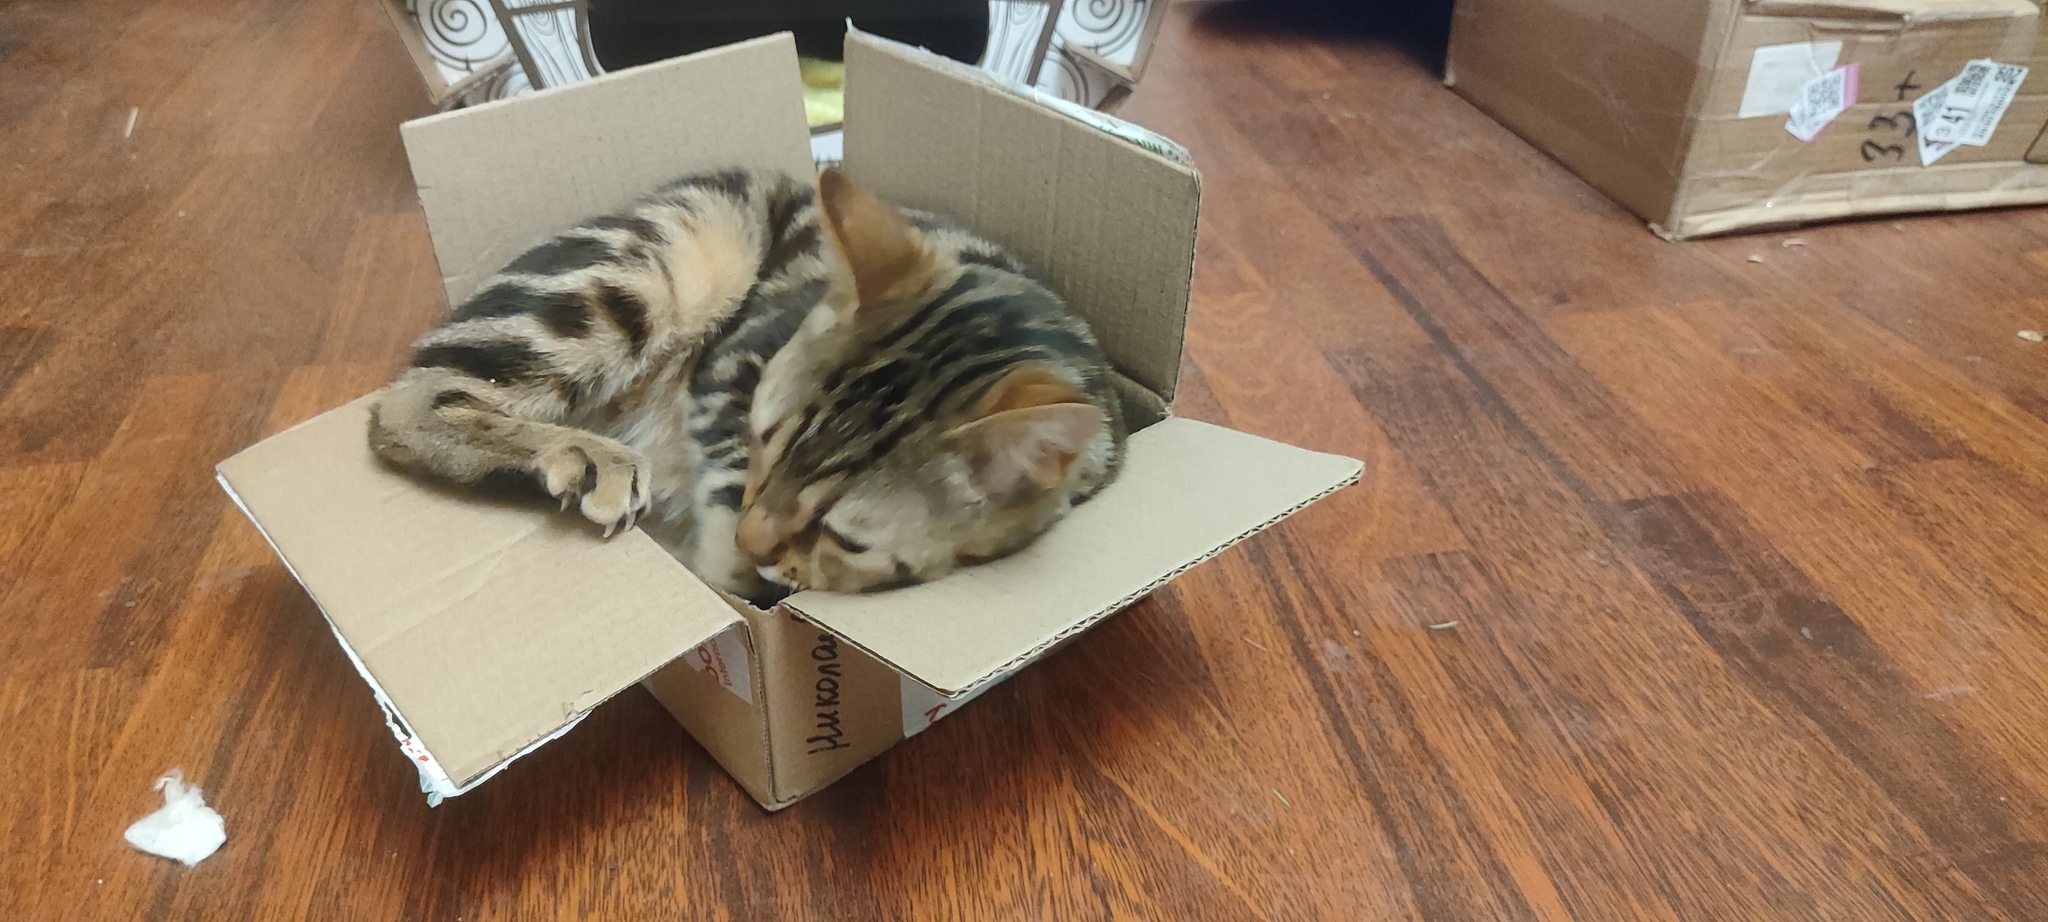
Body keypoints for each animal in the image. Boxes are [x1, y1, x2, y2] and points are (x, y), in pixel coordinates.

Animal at [368, 167, 1126, 606]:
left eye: (842, 536)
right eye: (760, 435)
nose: (755, 549)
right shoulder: (732, 371)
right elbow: (728, 491)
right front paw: (729, 577)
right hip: (670, 262)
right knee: (407, 403)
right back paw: (585, 456)